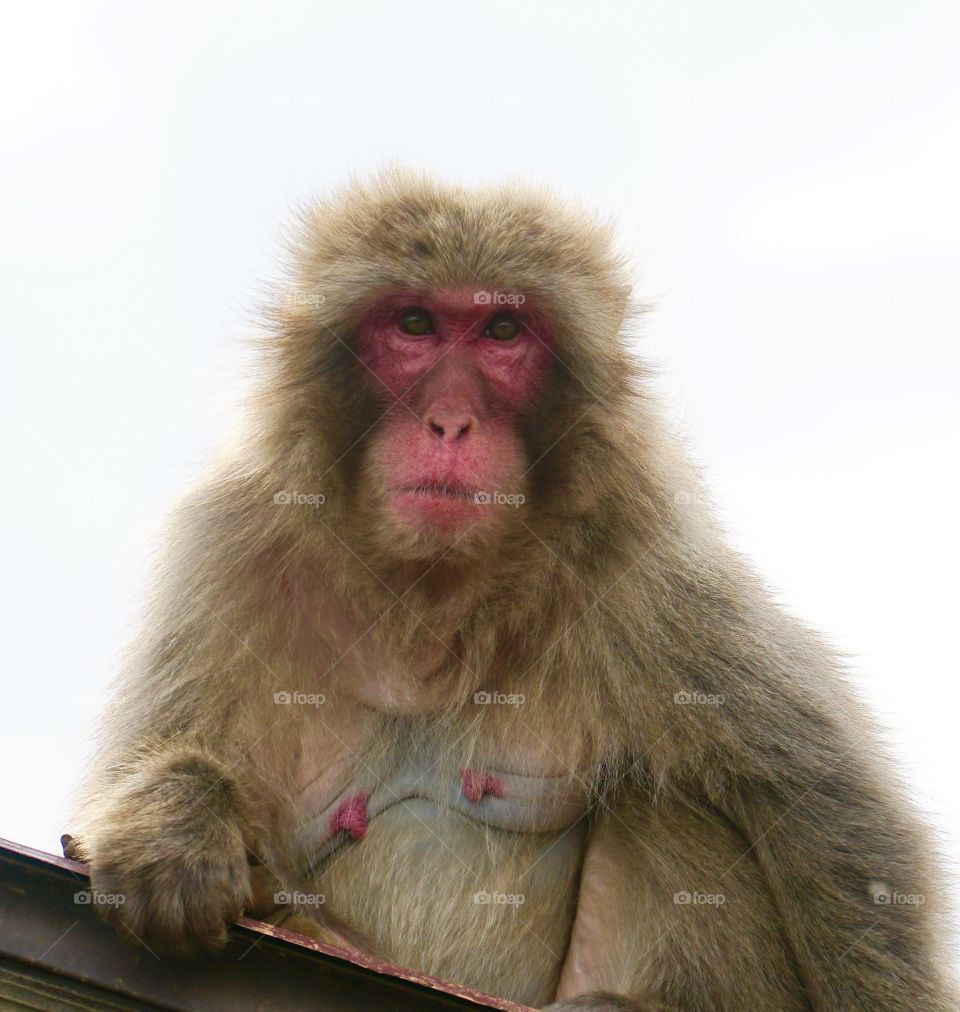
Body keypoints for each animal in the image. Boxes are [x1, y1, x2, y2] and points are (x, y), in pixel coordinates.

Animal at [66, 169, 957, 1010]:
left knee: (664, 797)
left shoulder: (647, 562)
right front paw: (176, 828)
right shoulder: (227, 546)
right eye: (414, 325)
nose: (451, 421)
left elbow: (830, 814)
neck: (430, 595)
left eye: (501, 331)